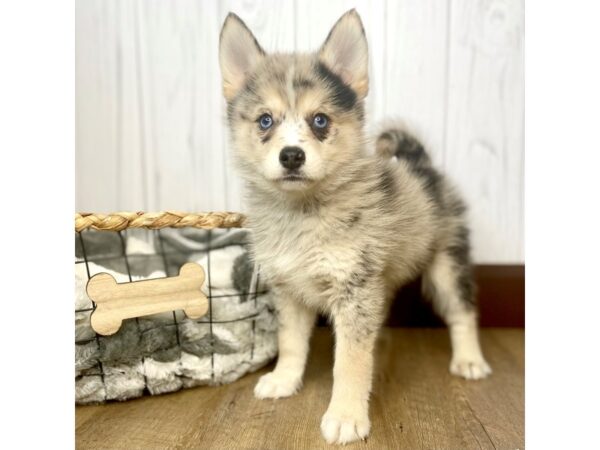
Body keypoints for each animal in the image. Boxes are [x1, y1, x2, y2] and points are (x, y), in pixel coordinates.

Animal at [218, 8, 490, 444]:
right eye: (265, 121)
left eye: (320, 120)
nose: (291, 156)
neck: (304, 214)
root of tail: (424, 167)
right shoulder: (290, 292)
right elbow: (290, 343)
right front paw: (284, 379)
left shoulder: (354, 294)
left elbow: (350, 361)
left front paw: (346, 415)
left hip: (447, 265)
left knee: (463, 312)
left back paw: (469, 360)